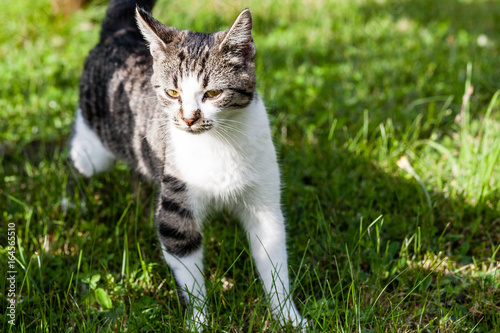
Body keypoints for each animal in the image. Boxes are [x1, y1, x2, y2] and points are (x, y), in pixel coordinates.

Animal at [69, 0, 304, 330]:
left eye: (213, 93)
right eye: (172, 92)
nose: (189, 118)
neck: (218, 145)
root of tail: (119, 33)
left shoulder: (264, 200)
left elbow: (273, 259)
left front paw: (288, 315)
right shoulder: (176, 206)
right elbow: (187, 268)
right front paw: (199, 320)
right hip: (95, 148)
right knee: (78, 158)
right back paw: (72, 201)